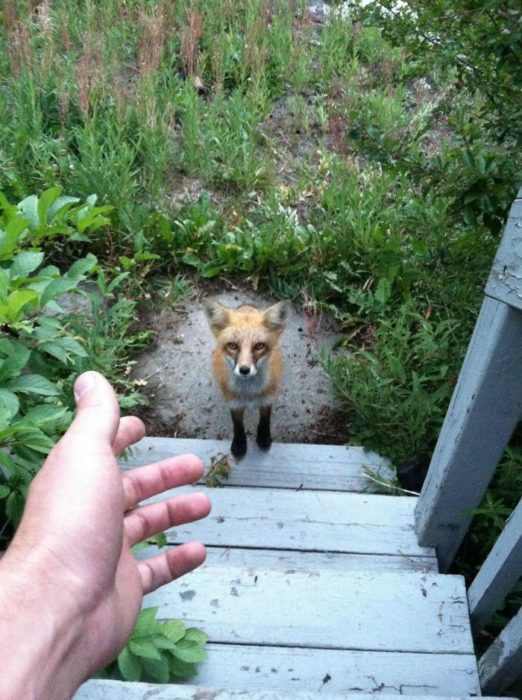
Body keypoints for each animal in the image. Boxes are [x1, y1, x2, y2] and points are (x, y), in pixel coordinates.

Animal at [202, 300, 290, 460]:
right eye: (232, 346)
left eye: (259, 346)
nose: (244, 370)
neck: (249, 392)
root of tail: (246, 307)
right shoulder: (234, 402)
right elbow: (237, 426)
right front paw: (239, 445)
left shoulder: (267, 398)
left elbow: (265, 420)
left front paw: (263, 438)